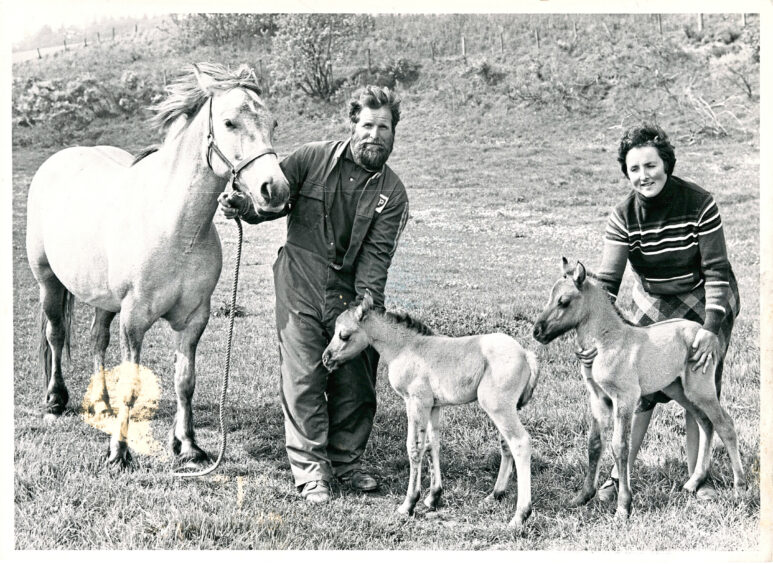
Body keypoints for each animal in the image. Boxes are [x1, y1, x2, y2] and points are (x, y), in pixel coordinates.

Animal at [322, 290, 540, 528]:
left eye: (344, 335)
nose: (326, 358)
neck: (404, 348)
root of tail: (526, 355)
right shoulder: (434, 406)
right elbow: (432, 445)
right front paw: (433, 497)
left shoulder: (416, 401)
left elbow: (414, 448)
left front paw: (408, 504)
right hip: (506, 409)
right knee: (506, 444)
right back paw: (495, 495)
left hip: (497, 406)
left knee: (520, 442)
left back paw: (521, 515)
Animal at [532, 258, 744, 516]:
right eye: (550, 297)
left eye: (564, 301)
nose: (537, 331)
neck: (607, 341)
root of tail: (701, 330)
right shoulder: (597, 397)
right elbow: (594, 443)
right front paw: (582, 497)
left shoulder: (625, 398)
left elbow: (620, 445)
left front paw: (623, 505)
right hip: (678, 390)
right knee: (705, 422)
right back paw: (694, 482)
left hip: (700, 388)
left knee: (725, 424)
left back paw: (740, 486)